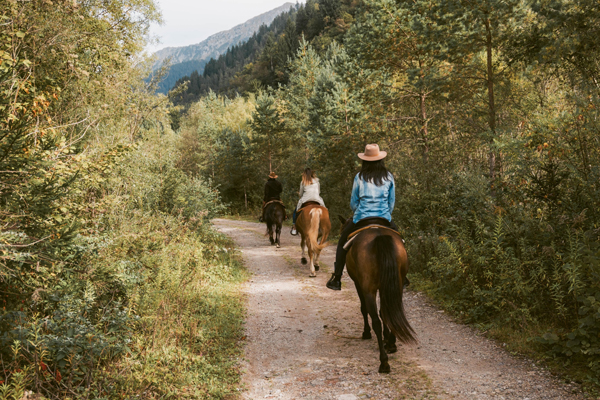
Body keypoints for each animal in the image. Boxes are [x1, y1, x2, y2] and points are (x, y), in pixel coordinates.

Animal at [338, 217, 418, 374]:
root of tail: (379, 236)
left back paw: (384, 362)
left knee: (375, 320)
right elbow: (384, 312)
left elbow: (364, 309)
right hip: (397, 285)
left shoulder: (359, 284)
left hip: (368, 289)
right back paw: (391, 344)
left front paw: (366, 333)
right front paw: (387, 339)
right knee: (393, 311)